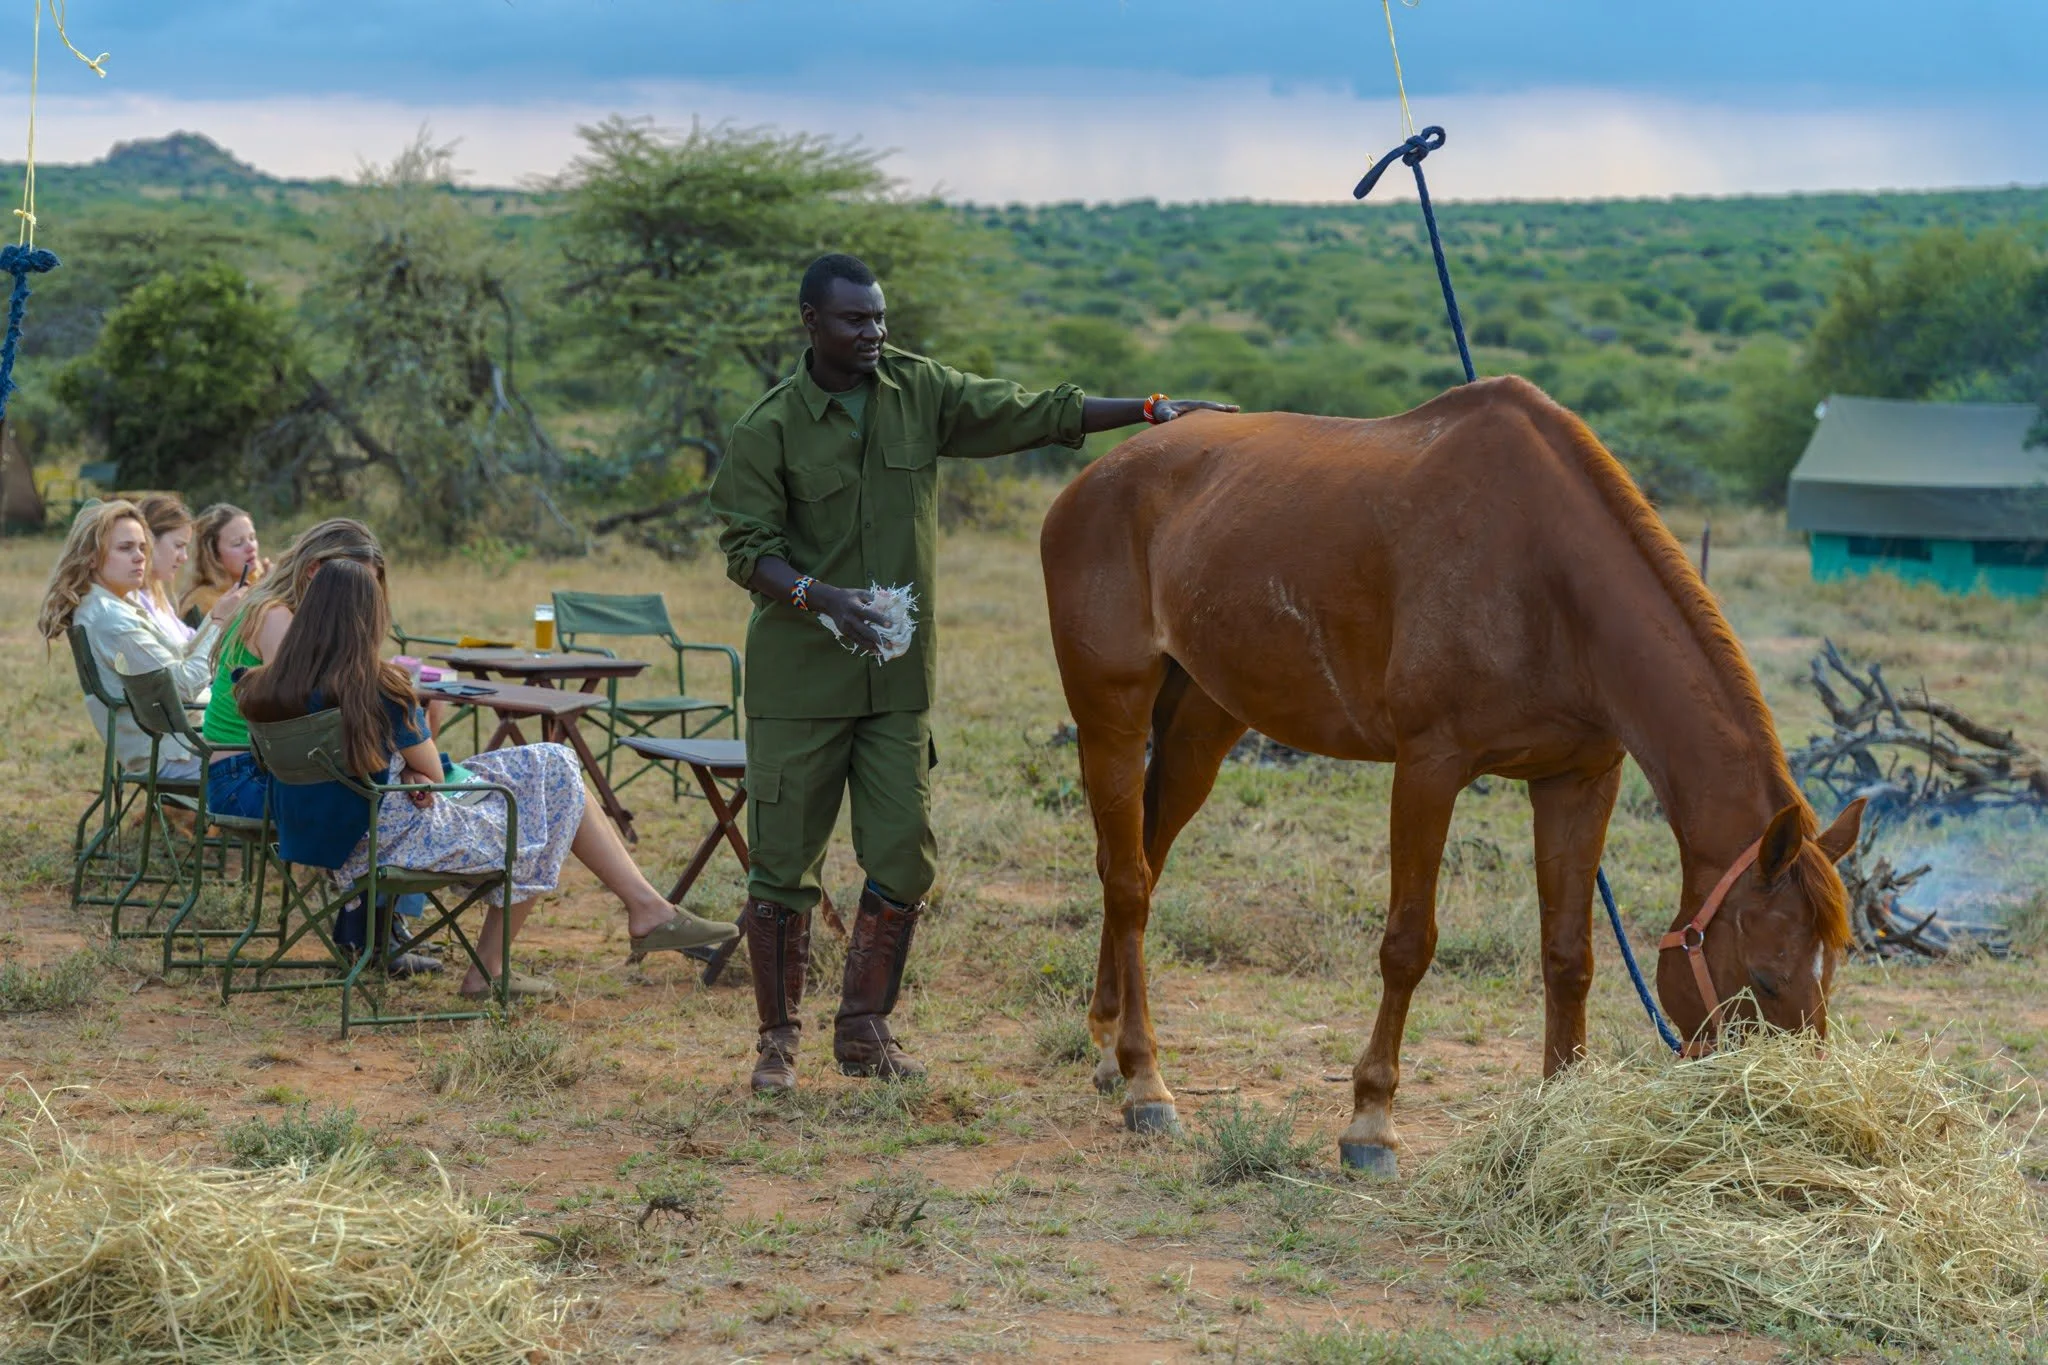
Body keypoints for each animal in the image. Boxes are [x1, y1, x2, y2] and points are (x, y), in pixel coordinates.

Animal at [1038, 376, 1864, 1173]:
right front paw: (1370, 1122)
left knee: (1140, 857)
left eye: (1835, 969)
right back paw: (1145, 1080)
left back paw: (1108, 1044)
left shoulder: (1579, 778)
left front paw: (1557, 1104)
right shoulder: (1429, 768)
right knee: (1130, 884)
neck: (1549, 578)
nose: (1794, 1116)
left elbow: (1569, 953)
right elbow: (1408, 944)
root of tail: (1093, 481)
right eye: (1765, 977)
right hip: (1112, 713)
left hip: (1201, 726)